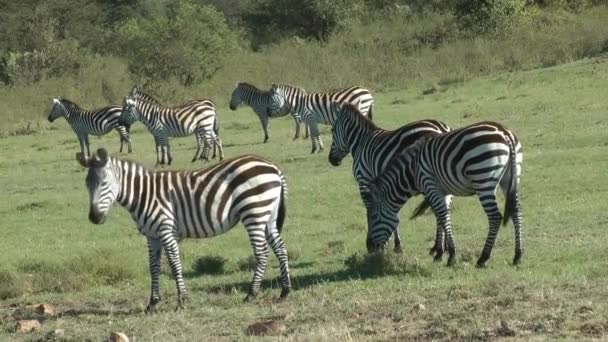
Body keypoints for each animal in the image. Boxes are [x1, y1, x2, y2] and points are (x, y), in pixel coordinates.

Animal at [77, 148, 290, 312]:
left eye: (104, 183)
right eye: (86, 184)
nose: (94, 218)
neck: (143, 194)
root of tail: (272, 166)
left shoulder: (166, 230)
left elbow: (174, 264)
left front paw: (182, 302)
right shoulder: (152, 236)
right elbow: (153, 267)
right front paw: (152, 304)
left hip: (254, 212)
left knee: (262, 254)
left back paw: (251, 295)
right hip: (268, 216)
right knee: (280, 249)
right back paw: (285, 291)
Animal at [328, 101, 452, 254]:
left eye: (332, 130)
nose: (332, 160)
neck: (360, 143)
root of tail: (441, 128)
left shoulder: (364, 181)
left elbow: (370, 209)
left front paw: (378, 244)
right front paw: (393, 243)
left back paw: (438, 247)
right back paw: (443, 246)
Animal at [360, 121, 524, 268]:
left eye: (374, 217)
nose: (371, 248)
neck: (413, 171)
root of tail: (505, 133)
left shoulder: (430, 186)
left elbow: (442, 216)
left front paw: (449, 255)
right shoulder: (442, 191)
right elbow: (443, 216)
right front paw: (441, 252)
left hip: (483, 179)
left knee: (495, 217)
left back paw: (483, 258)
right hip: (510, 178)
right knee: (516, 212)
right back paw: (518, 255)